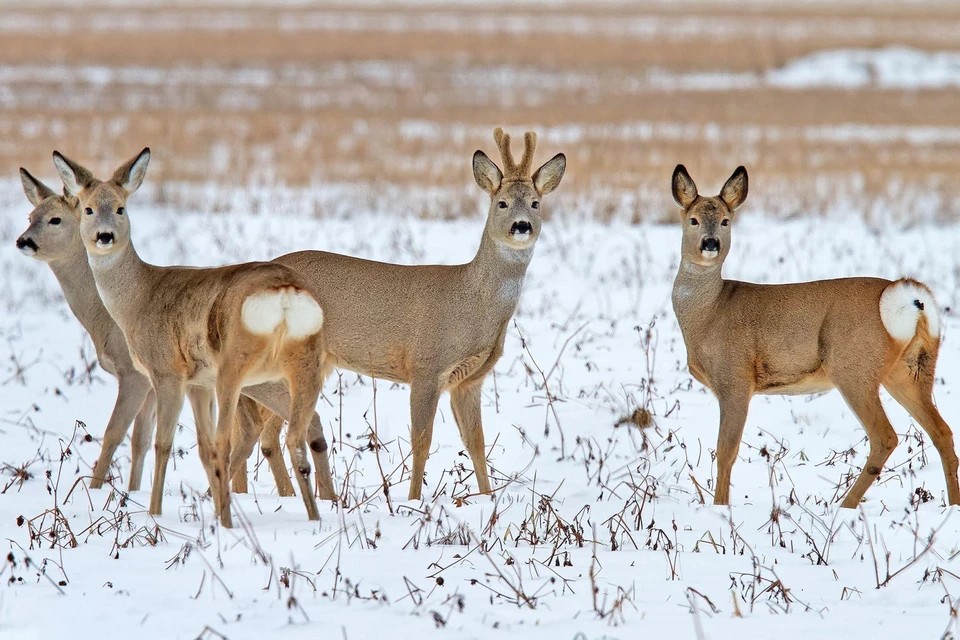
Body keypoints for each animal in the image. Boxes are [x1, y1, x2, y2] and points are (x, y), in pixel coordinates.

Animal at [14, 171, 292, 500]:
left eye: (55, 219)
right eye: (31, 216)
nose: (23, 241)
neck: (105, 316)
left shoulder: (136, 375)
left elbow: (115, 433)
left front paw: (96, 490)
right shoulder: (153, 381)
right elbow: (140, 440)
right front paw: (132, 491)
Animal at [53, 150, 338, 524]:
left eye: (120, 208)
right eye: (87, 209)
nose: (104, 236)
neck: (139, 296)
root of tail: (284, 291)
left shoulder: (166, 372)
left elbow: (162, 443)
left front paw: (155, 512)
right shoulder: (198, 383)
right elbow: (201, 448)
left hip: (235, 366)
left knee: (227, 441)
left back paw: (229, 521)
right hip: (302, 363)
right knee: (294, 437)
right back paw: (312, 518)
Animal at [672, 165, 956, 510]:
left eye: (726, 221)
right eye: (693, 220)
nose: (710, 243)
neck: (709, 313)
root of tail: (910, 297)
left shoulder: (735, 378)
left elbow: (726, 452)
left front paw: (720, 508)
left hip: (852, 367)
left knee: (885, 436)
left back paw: (844, 506)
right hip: (910, 369)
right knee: (942, 431)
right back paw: (952, 503)